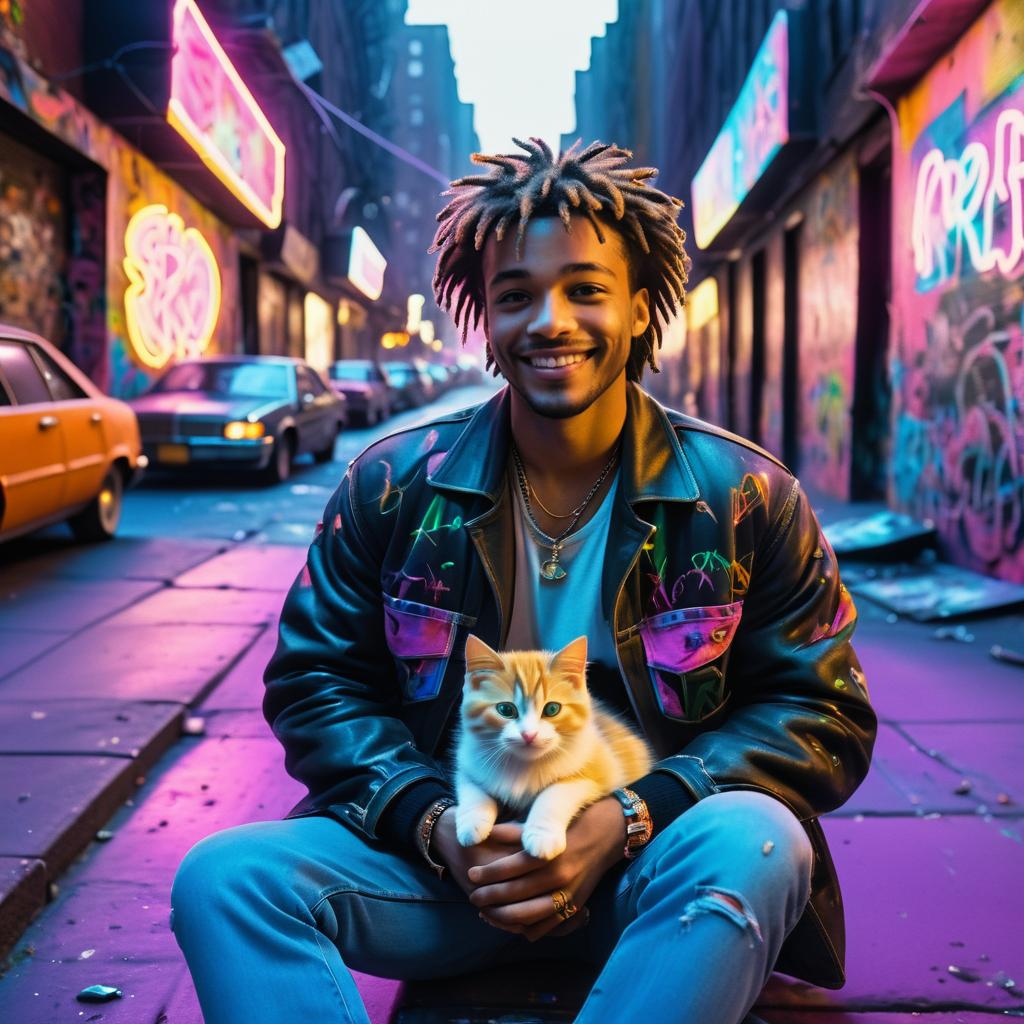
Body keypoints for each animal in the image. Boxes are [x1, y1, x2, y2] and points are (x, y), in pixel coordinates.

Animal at [452, 634, 651, 860]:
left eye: (552, 709)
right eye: (505, 710)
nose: (529, 734)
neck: (523, 765)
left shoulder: (602, 765)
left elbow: (556, 791)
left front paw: (542, 836)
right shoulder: (469, 761)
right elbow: (471, 786)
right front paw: (471, 823)